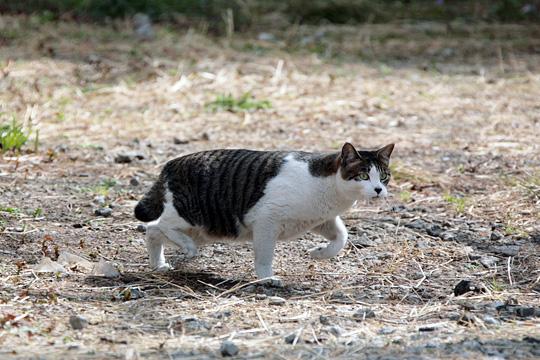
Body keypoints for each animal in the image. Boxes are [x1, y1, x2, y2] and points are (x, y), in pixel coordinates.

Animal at [134, 142, 392, 286]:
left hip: (204, 228)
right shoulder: (266, 220)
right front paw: (267, 278)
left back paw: (158, 265)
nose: (379, 189)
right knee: (160, 223)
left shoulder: (320, 219)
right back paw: (186, 248)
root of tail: (170, 164)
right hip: (191, 214)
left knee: (152, 231)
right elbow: (264, 256)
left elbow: (342, 237)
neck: (332, 194)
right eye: (363, 176)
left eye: (384, 176)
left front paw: (319, 253)